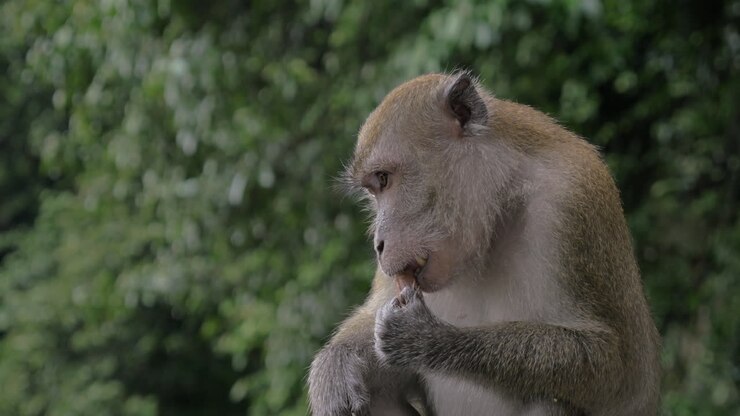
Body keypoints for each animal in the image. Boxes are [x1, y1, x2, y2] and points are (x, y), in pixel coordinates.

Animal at [308, 71, 661, 416]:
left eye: (383, 179)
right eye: (372, 190)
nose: (378, 244)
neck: (500, 206)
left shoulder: (572, 201)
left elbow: (618, 368)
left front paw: (428, 338)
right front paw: (336, 362)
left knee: (551, 399)